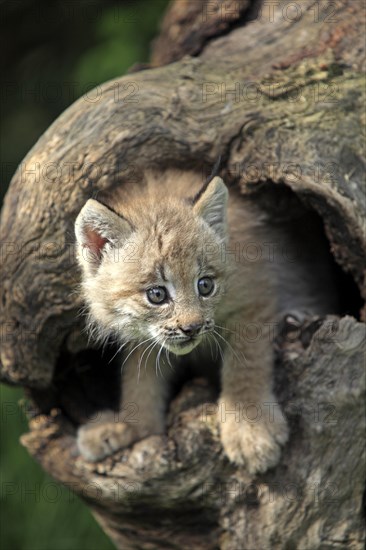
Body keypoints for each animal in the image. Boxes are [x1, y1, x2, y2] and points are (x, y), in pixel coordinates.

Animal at [74, 171, 334, 474]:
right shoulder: (145, 338)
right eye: (156, 294)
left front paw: (250, 428)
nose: (193, 327)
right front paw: (131, 425)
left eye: (205, 285)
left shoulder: (255, 298)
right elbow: (140, 376)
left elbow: (246, 363)